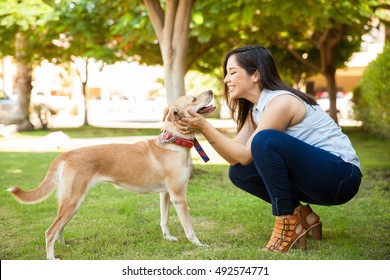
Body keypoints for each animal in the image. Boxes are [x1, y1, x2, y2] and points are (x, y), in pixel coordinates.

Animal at [7, 89, 216, 258]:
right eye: (194, 99)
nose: (211, 91)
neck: (173, 141)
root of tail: (66, 153)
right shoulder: (179, 197)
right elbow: (189, 227)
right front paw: (199, 245)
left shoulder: (165, 194)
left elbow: (164, 220)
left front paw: (168, 238)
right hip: (73, 201)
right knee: (50, 231)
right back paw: (51, 258)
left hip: (69, 203)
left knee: (59, 229)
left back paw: (64, 247)